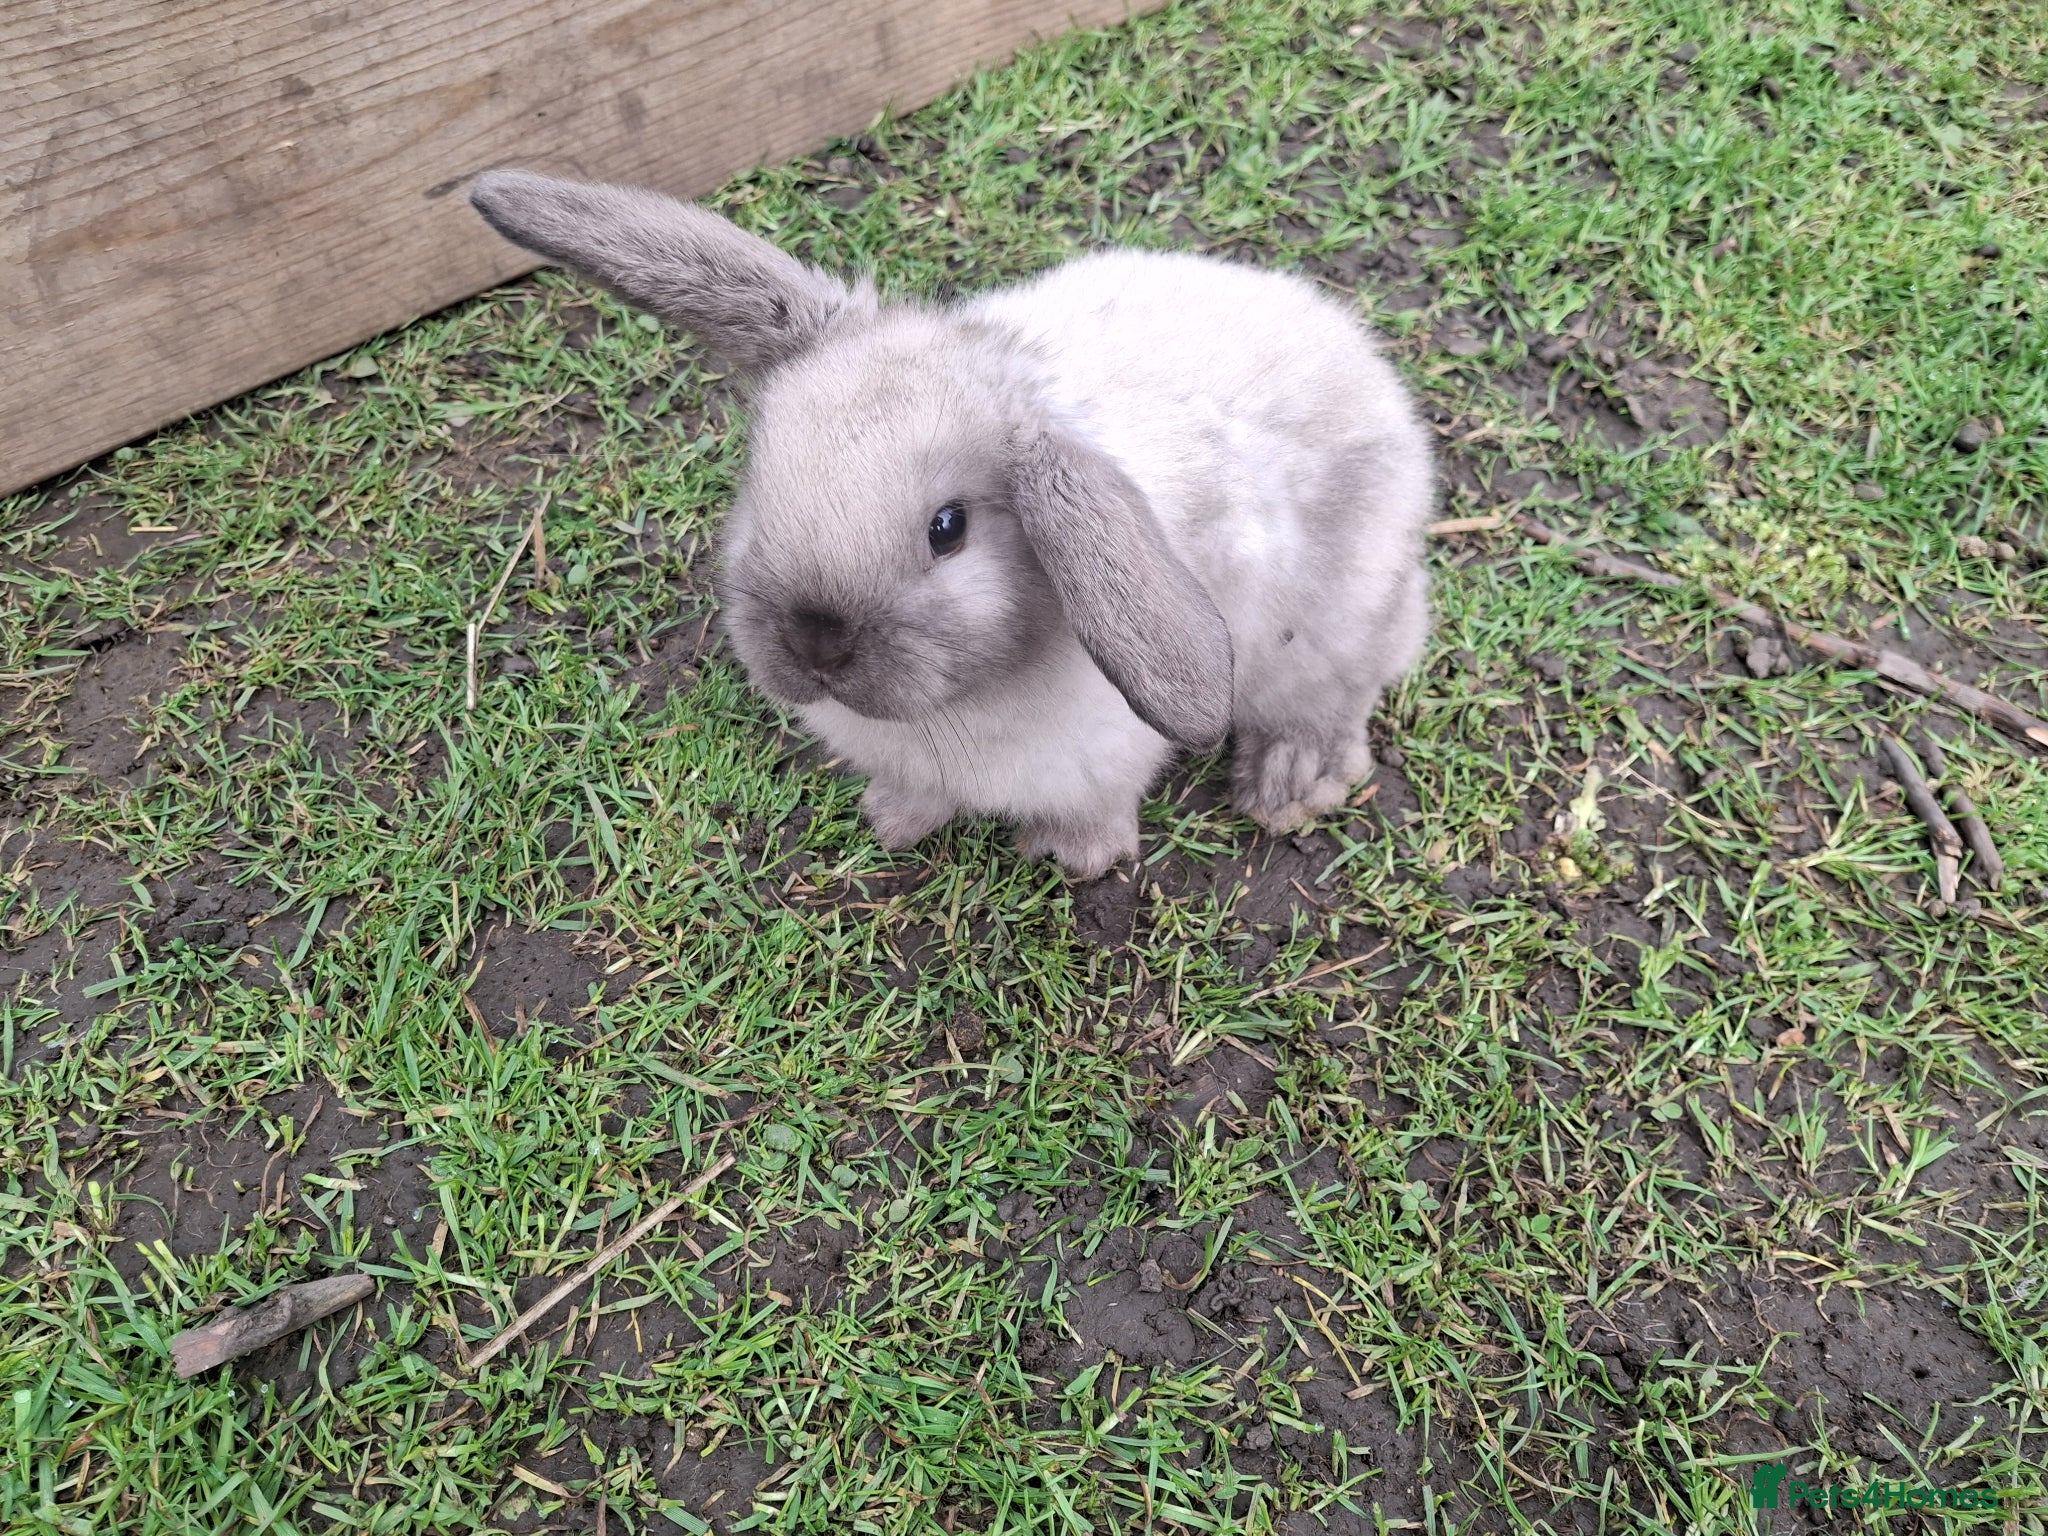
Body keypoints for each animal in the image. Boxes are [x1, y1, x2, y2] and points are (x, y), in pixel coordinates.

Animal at [469, 170, 1434, 879]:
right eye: (761, 475)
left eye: (947, 527)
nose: (813, 644)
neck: (950, 713)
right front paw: (892, 822)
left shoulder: (1102, 758)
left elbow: (1094, 811)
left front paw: (1073, 860)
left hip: (1327, 628)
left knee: (1334, 695)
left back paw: (1290, 786)